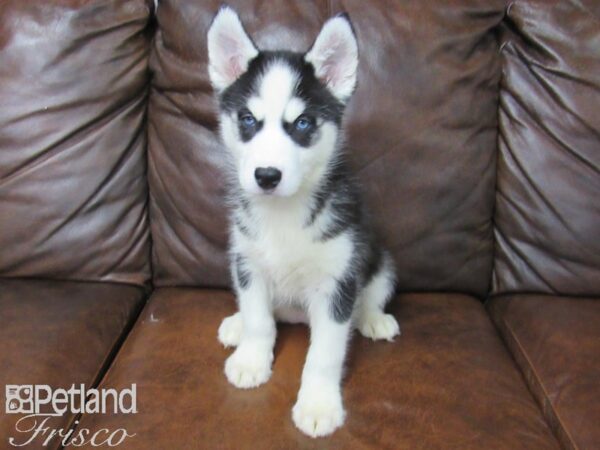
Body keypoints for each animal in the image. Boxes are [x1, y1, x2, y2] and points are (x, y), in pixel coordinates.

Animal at [209, 6, 400, 436]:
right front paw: (251, 358)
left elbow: (325, 354)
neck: (283, 215)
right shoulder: (248, 262)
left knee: (371, 294)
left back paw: (373, 319)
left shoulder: (337, 282)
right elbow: (260, 320)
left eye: (302, 124)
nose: (267, 176)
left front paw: (318, 404)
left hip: (379, 261)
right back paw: (237, 323)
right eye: (248, 120)